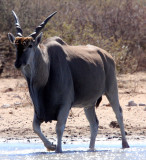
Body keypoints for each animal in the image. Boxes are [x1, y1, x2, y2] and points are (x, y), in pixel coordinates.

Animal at [7, 10, 129, 152]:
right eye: (16, 46)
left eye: (30, 45)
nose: (17, 63)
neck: (48, 65)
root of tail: (107, 55)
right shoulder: (39, 111)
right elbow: (35, 127)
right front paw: (51, 146)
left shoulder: (65, 104)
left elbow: (59, 127)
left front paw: (58, 150)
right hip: (89, 104)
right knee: (94, 123)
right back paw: (90, 149)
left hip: (111, 90)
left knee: (118, 113)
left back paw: (125, 145)